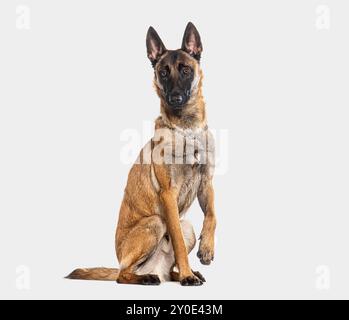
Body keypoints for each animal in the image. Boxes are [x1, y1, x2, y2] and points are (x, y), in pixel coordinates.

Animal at [66, 22, 216, 286]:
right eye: (163, 73)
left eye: (186, 70)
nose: (175, 98)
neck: (187, 130)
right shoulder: (168, 194)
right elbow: (177, 240)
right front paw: (188, 275)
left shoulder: (206, 184)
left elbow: (213, 215)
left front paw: (206, 249)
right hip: (154, 223)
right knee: (122, 275)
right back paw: (153, 277)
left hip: (187, 226)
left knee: (168, 269)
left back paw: (179, 273)